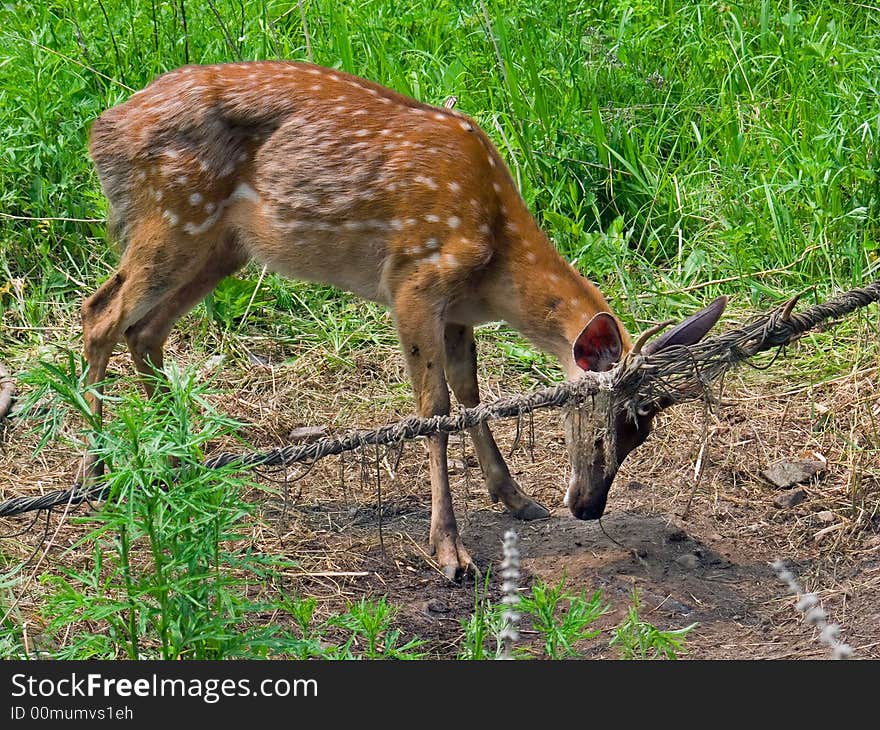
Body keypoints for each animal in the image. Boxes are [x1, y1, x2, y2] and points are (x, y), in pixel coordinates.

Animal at [84, 59, 728, 576]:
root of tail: (100, 131)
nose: (589, 506)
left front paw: (516, 497)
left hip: (221, 245)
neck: (495, 261)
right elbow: (434, 410)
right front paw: (450, 551)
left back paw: (184, 461)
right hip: (175, 214)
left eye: (643, 430)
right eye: (605, 419)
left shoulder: (458, 311)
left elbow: (471, 396)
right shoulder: (415, 281)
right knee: (100, 313)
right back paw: (95, 470)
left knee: (145, 329)